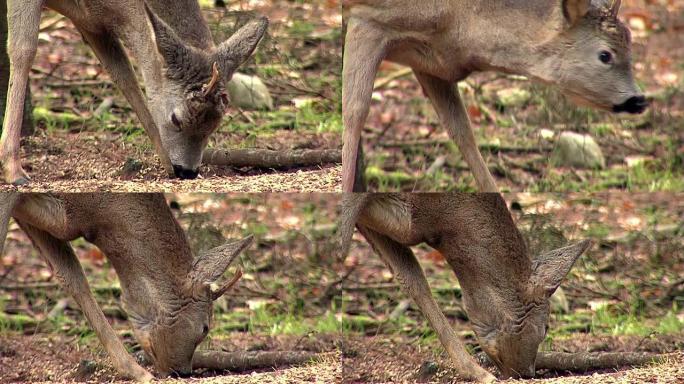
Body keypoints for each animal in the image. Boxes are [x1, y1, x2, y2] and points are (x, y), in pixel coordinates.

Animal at [0, 0, 268, 184]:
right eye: (176, 119)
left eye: (215, 125)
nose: (187, 172)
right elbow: (23, 50)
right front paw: (14, 170)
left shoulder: (93, 24)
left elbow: (124, 77)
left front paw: (165, 164)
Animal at [342, 0, 648, 192]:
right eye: (605, 55)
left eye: (631, 48)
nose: (639, 99)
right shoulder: (366, 17)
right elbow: (354, 113)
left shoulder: (432, 63)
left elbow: (462, 132)